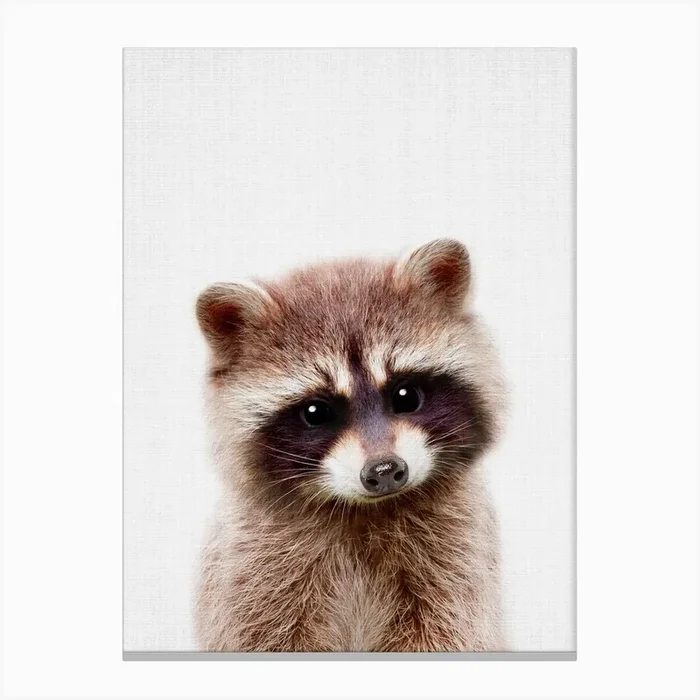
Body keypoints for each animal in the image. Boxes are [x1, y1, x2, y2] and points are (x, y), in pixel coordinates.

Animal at [193, 239, 507, 652]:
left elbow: (451, 630)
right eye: (315, 412)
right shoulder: (253, 569)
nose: (385, 471)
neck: (363, 511)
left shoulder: (458, 556)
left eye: (406, 395)